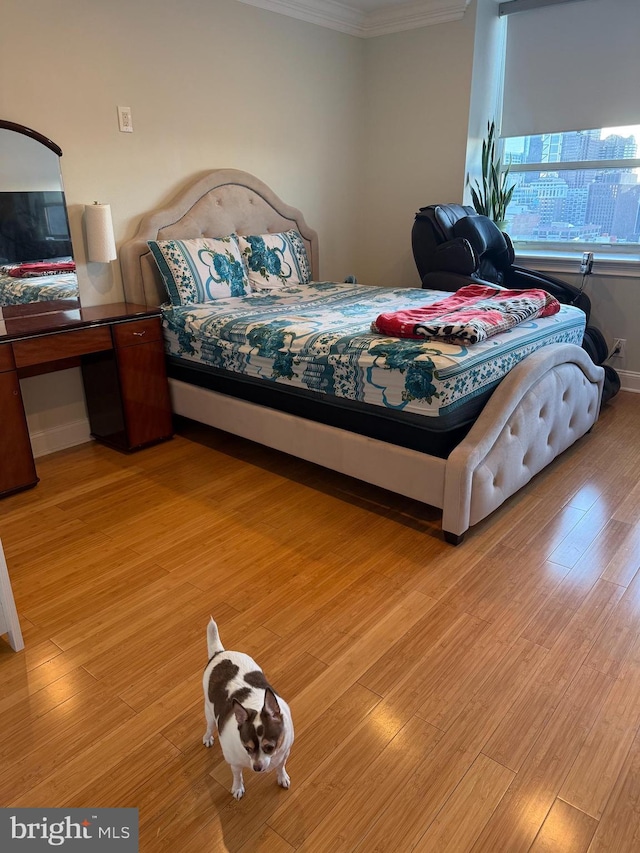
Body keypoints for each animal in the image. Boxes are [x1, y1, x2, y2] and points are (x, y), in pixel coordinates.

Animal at [202, 616, 296, 796]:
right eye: (247, 748)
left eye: (269, 747)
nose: (257, 768)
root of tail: (220, 653)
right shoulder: (235, 763)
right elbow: (237, 775)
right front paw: (238, 788)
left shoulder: (284, 752)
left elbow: (280, 766)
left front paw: (282, 777)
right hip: (209, 712)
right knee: (209, 726)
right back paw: (207, 737)